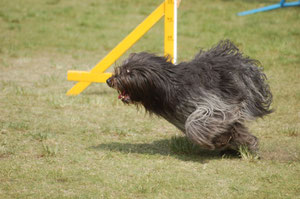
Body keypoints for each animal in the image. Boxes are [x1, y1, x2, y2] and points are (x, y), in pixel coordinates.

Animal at [107, 40, 272, 152]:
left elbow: (194, 124)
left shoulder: (214, 106)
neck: (168, 85)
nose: (109, 81)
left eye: (129, 72)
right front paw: (231, 141)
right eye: (121, 69)